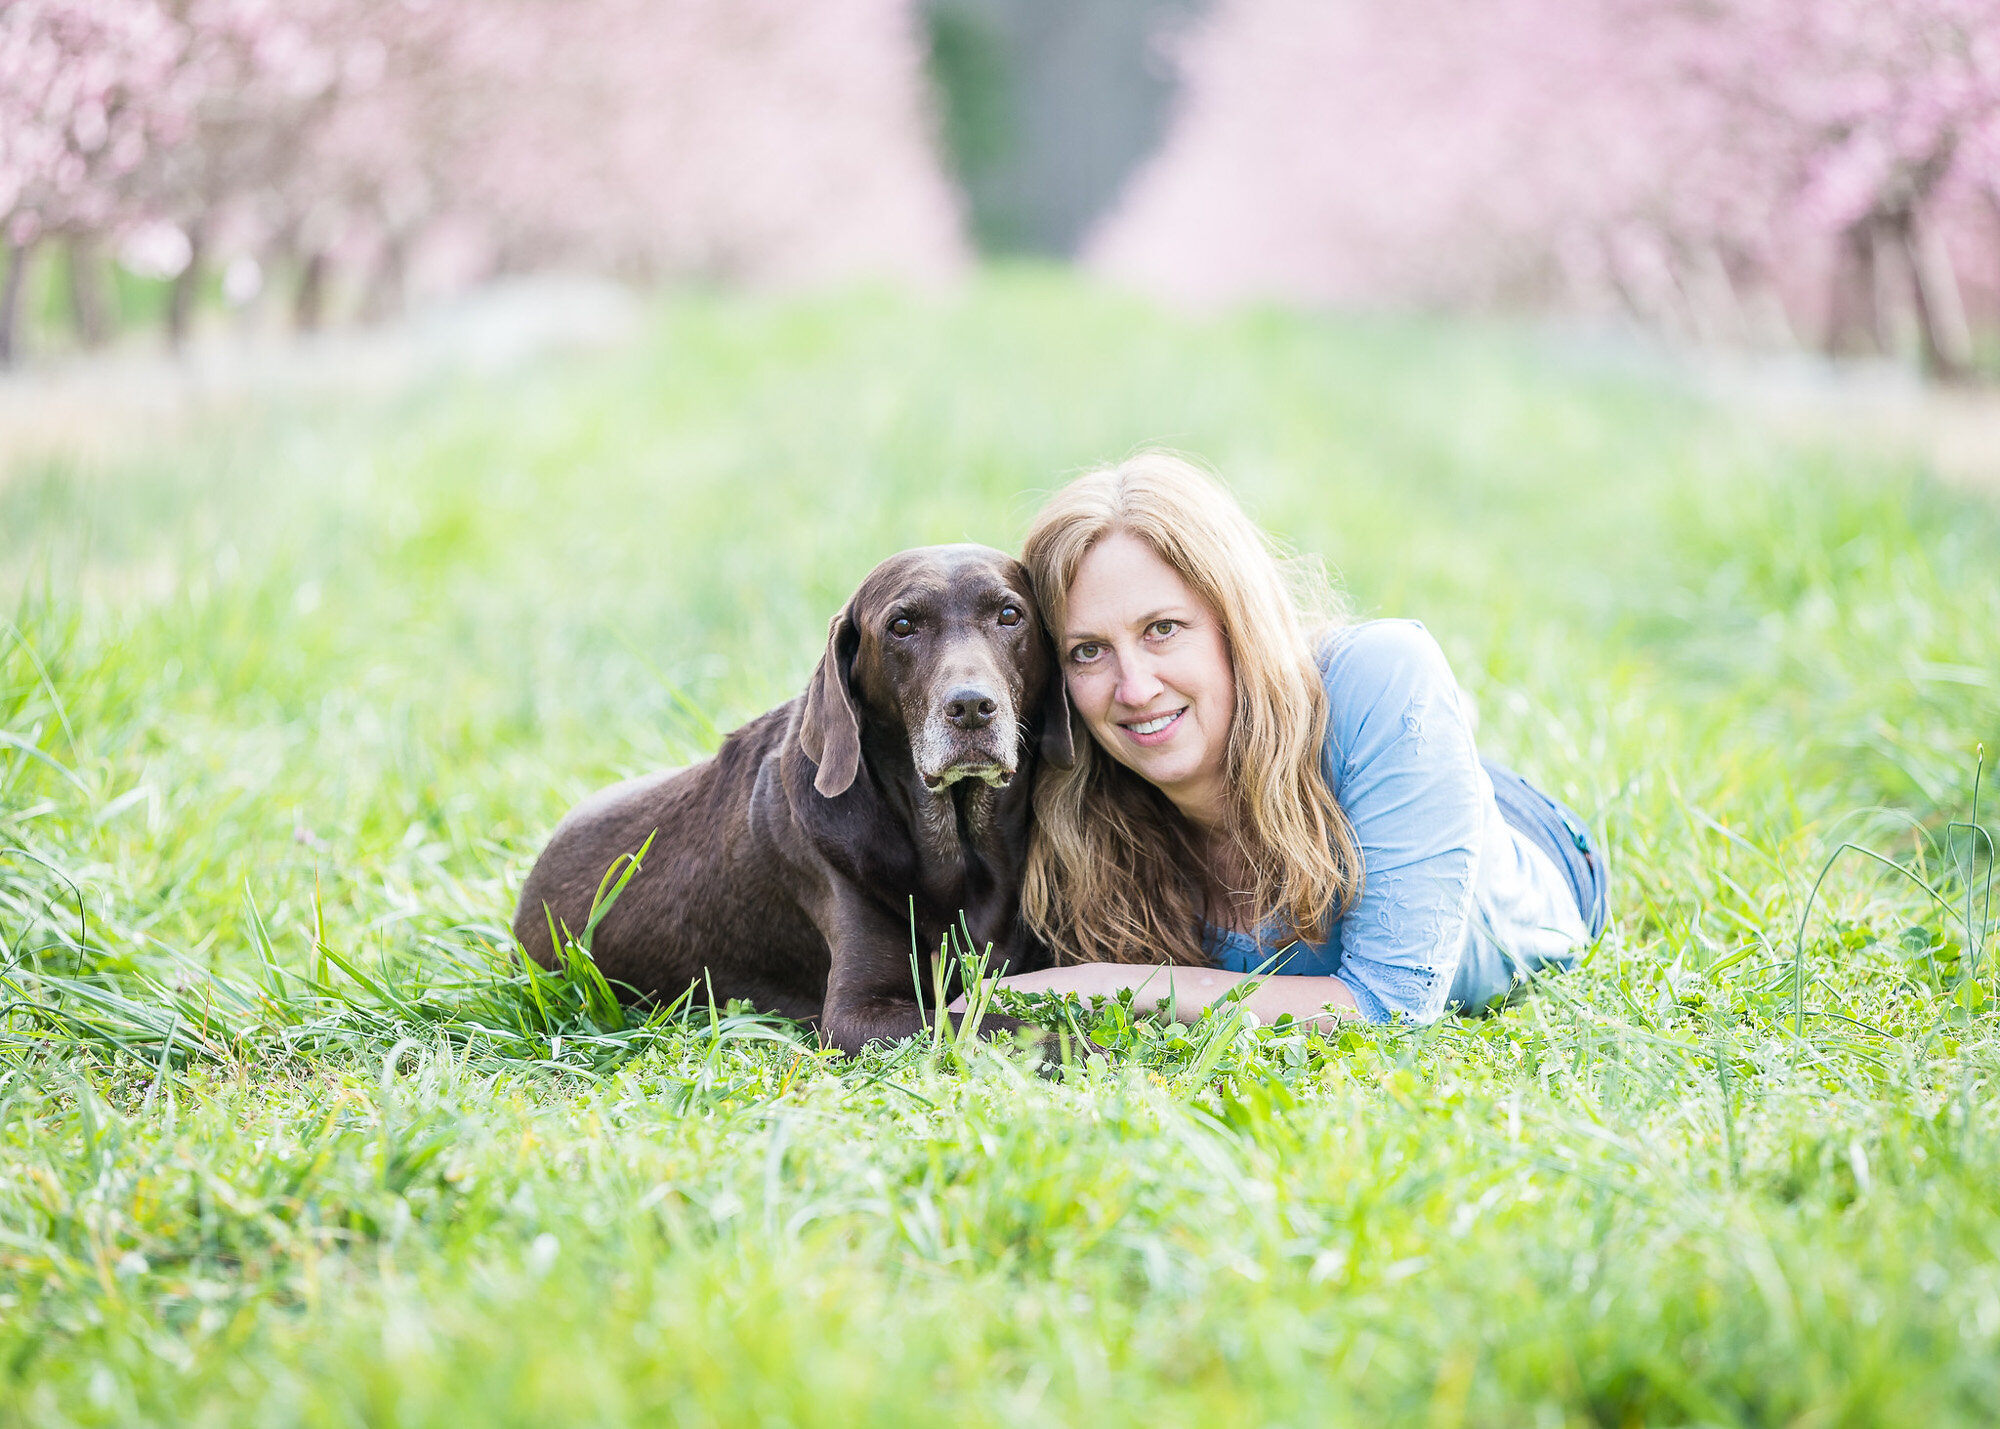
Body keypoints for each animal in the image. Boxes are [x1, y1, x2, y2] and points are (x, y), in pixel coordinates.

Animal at [516, 540, 1080, 1048]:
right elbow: (1003, 1028)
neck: (956, 842)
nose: (970, 707)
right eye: (902, 626)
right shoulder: (857, 1012)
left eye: (1009, 615)